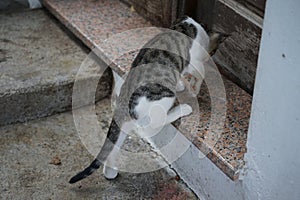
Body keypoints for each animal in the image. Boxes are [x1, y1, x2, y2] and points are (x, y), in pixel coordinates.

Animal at [69, 16, 219, 184]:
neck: (188, 24)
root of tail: (124, 99)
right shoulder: (194, 62)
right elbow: (201, 73)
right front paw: (194, 88)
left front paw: (181, 84)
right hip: (164, 96)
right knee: (157, 122)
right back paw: (183, 109)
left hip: (125, 124)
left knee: (112, 149)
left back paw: (110, 172)